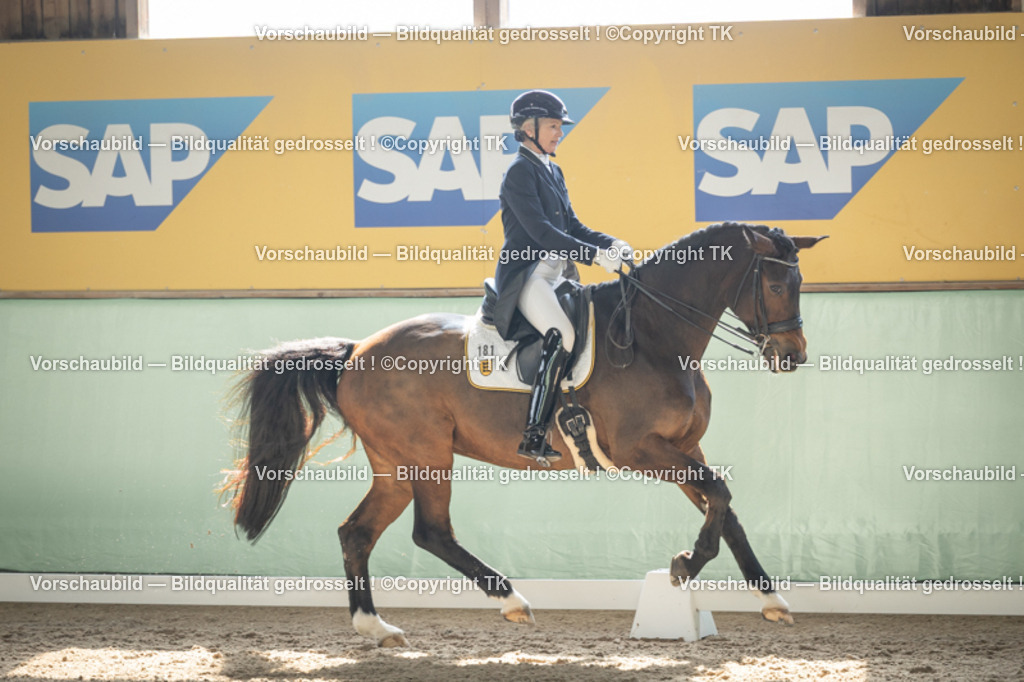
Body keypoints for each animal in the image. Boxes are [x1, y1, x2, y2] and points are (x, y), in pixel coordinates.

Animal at [222, 222, 826, 647]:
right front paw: (684, 565)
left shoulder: (681, 447)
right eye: (776, 284)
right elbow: (720, 493)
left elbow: (726, 509)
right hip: (426, 455)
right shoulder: (641, 449)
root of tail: (355, 353)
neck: (657, 336)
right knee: (430, 532)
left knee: (357, 533)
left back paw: (377, 628)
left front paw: (771, 598)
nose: (791, 355)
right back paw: (511, 600)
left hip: (396, 464)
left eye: (798, 283)